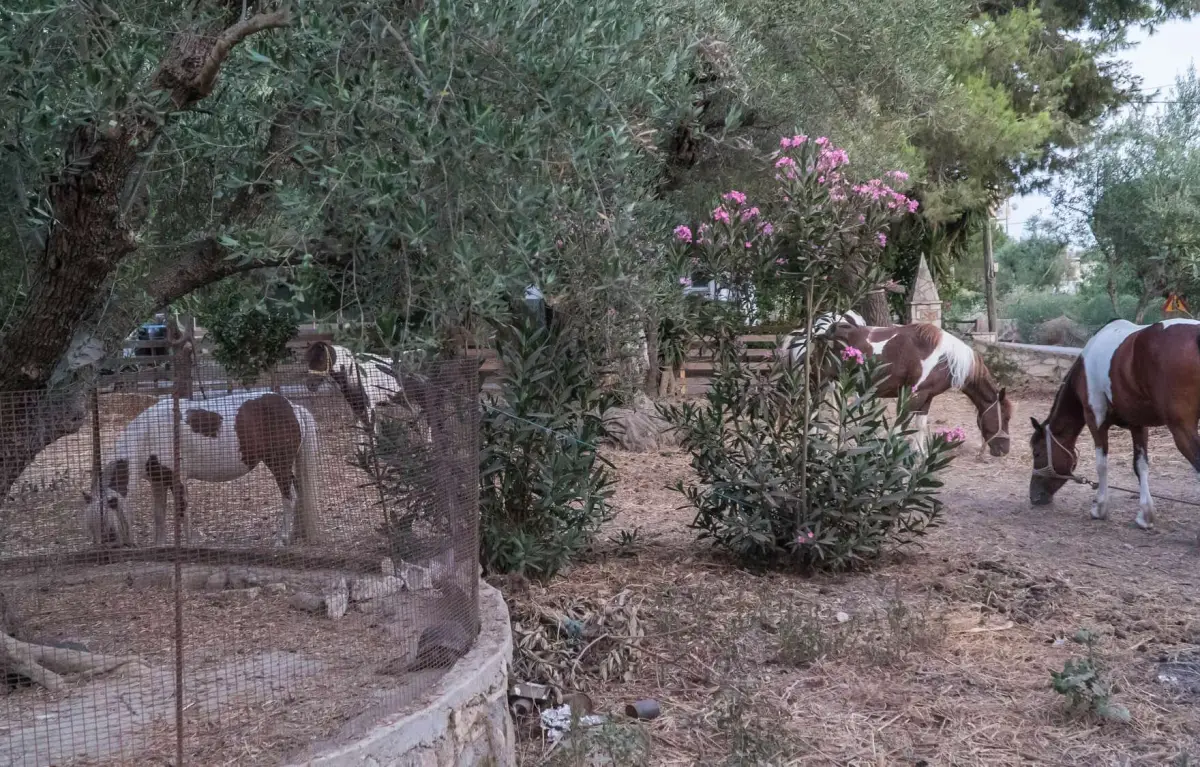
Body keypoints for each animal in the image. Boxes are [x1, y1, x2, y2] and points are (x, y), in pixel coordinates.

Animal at [82, 391, 321, 548]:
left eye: (108, 532)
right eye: (91, 529)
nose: (105, 552)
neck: (149, 435)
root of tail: (292, 407)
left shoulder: (177, 480)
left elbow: (182, 511)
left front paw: (188, 544)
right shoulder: (158, 482)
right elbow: (159, 514)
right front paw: (160, 546)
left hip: (279, 465)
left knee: (289, 497)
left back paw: (282, 539)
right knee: (298, 493)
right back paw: (295, 534)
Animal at [780, 313, 1012, 455]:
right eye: (1006, 417)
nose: (1004, 450)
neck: (945, 358)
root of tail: (814, 334)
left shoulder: (926, 398)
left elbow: (920, 426)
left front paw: (919, 457)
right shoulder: (912, 395)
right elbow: (900, 427)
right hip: (819, 382)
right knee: (812, 413)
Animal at [1028, 318, 1200, 531]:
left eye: (1037, 453)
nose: (1034, 496)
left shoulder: (1095, 419)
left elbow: (1102, 465)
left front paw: (1099, 508)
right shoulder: (1138, 425)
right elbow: (1140, 466)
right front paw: (1145, 515)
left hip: (1181, 429)